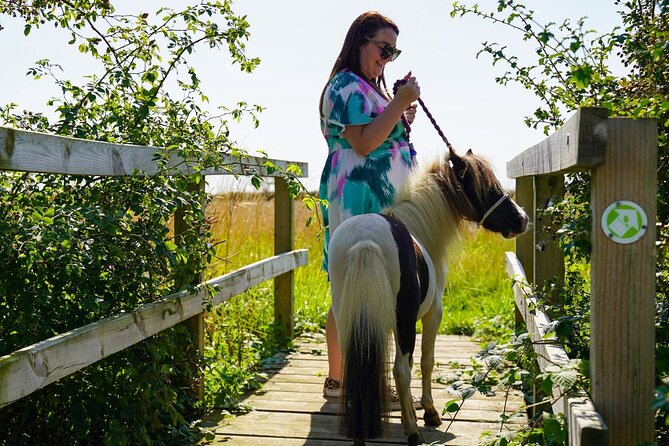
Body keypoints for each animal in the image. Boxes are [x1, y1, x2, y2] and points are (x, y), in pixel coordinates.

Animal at [328, 148, 528, 444]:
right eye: (489, 188)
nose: (522, 219)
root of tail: (365, 240)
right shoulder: (432, 315)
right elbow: (425, 362)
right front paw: (428, 412)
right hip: (403, 321)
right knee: (401, 370)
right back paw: (413, 432)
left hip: (347, 317)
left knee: (357, 366)